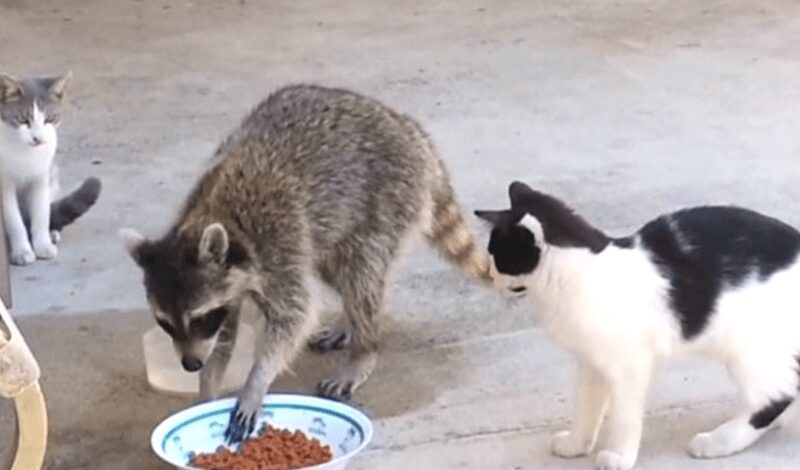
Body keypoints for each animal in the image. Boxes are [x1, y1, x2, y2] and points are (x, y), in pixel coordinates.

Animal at [0, 72, 101, 265]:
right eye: (23, 120)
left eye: (49, 119)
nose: (38, 138)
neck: (24, 152)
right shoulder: (4, 186)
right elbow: (14, 222)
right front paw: (22, 250)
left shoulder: (42, 176)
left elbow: (41, 214)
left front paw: (42, 244)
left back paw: (52, 232)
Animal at [121, 84, 492, 443]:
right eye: (165, 323)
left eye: (199, 318)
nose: (190, 364)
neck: (214, 216)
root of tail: (409, 129)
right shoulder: (229, 286)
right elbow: (225, 336)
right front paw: (208, 385)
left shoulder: (279, 246)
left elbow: (295, 316)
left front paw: (256, 381)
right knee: (338, 271)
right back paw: (348, 322)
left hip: (388, 202)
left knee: (361, 275)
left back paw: (364, 348)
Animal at [476, 181, 800, 470]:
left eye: (497, 255)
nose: (487, 274)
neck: (578, 278)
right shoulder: (591, 363)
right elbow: (585, 408)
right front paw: (576, 445)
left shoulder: (630, 367)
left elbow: (624, 416)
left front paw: (619, 456)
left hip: (750, 351)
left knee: (774, 398)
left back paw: (717, 442)